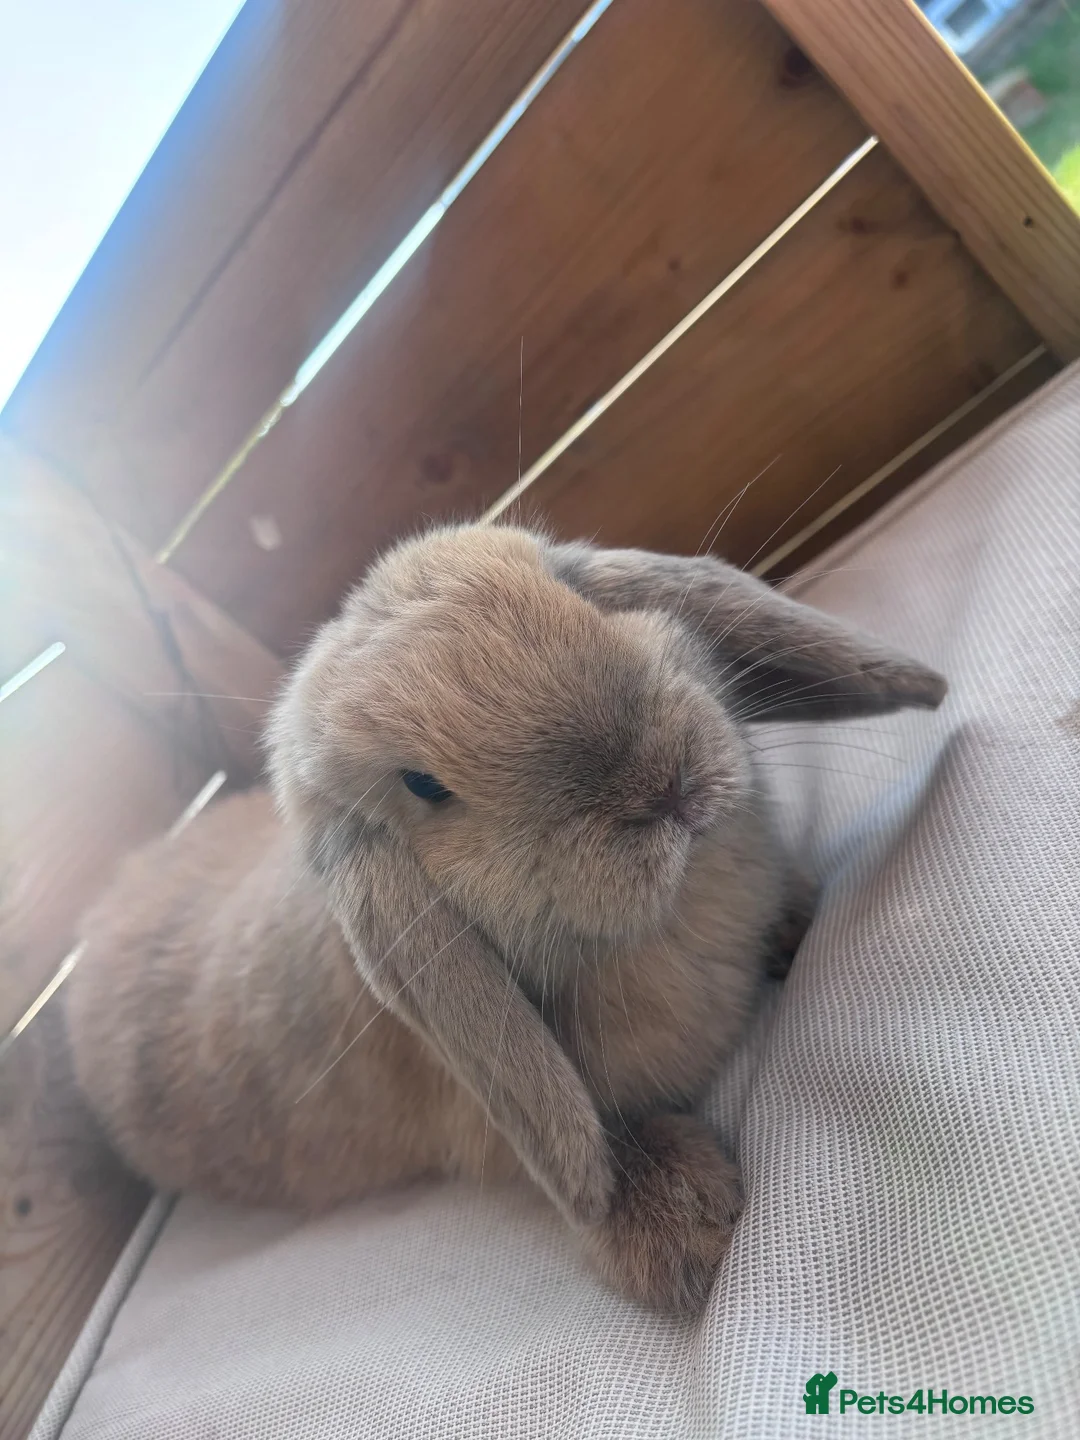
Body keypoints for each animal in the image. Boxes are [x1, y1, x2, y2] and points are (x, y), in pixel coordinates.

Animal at [66, 523, 945, 1313]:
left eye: (572, 594)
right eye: (424, 785)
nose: (663, 787)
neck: (682, 909)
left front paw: (798, 917)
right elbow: (596, 1153)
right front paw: (689, 1235)